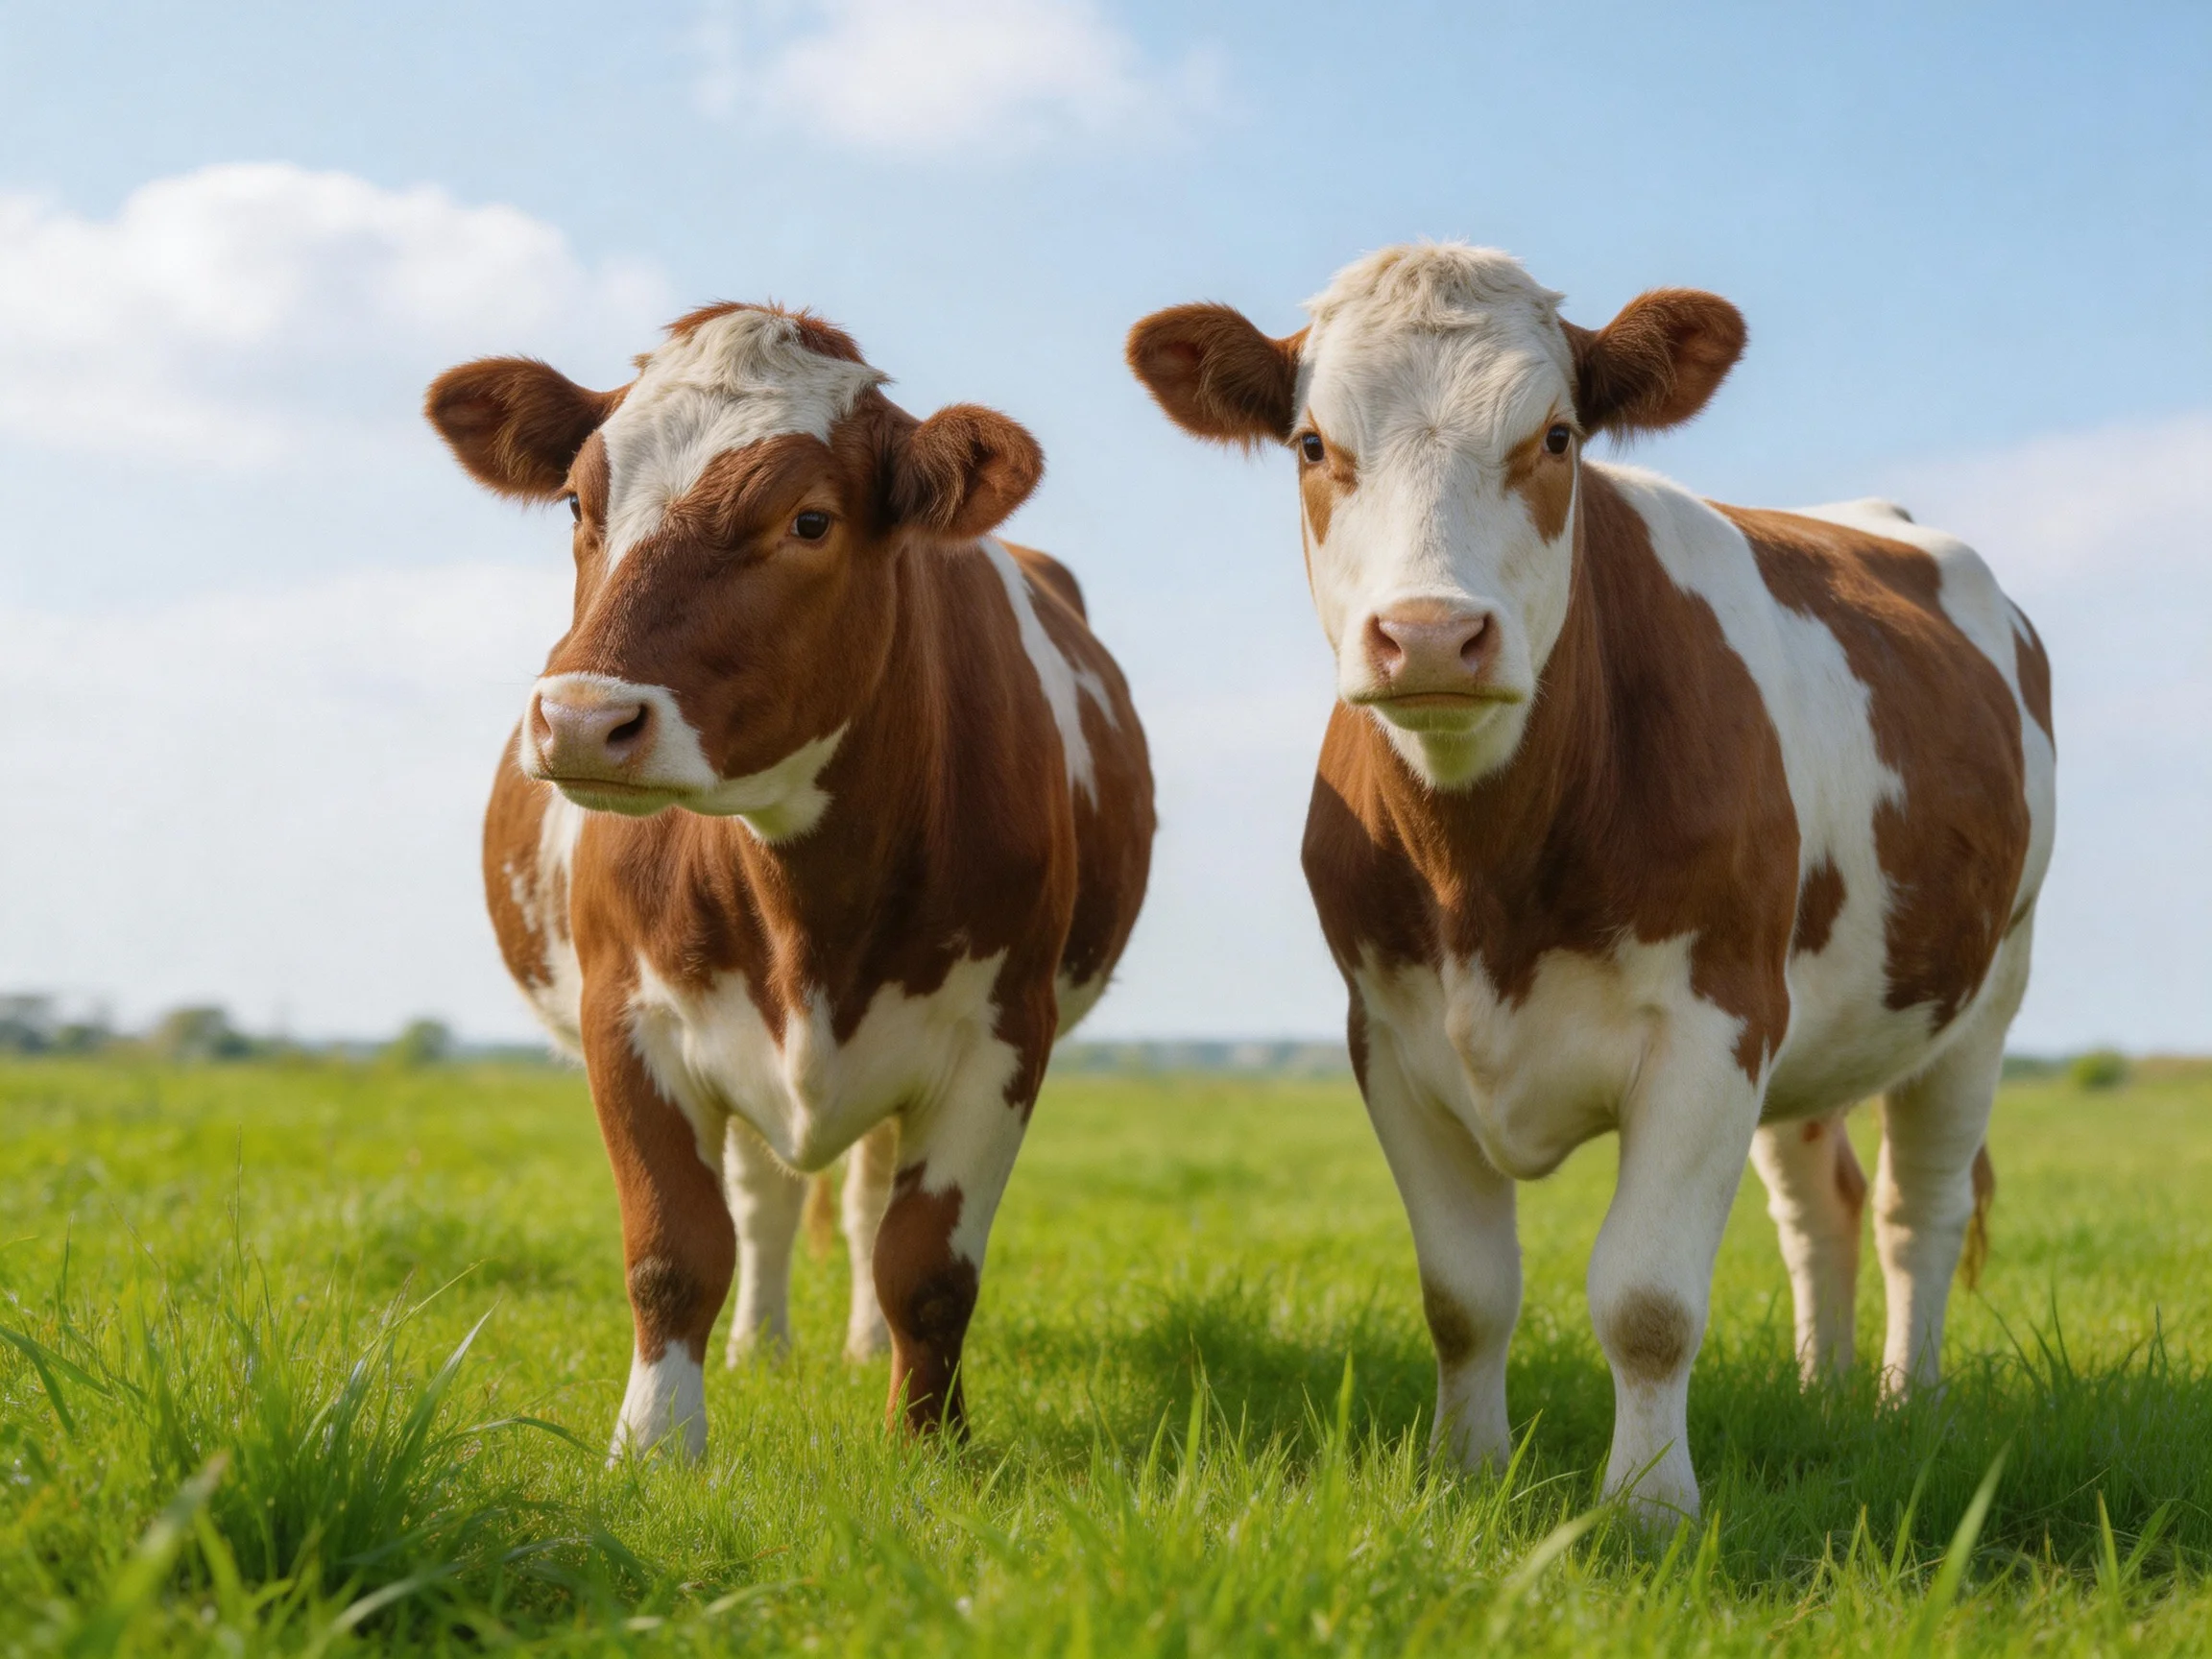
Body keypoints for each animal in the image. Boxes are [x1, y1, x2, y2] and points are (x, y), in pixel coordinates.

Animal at [425, 303, 1153, 1458]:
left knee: (858, 1203)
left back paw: (855, 1348)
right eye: (580, 501)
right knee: (763, 1202)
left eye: (810, 522)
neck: (806, 904)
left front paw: (926, 1447)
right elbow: (675, 1249)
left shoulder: (1002, 1033)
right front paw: (657, 1449)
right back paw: (761, 1348)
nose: (585, 719)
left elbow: (926, 1266)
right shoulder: (626, 1015)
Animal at [1126, 244, 2053, 1524]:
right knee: (1822, 1205)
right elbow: (1463, 1293)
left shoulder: (1715, 1025)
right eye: (1312, 444)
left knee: (1922, 1209)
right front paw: (1468, 1472)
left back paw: (1906, 1407)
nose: (1430, 635)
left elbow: (1648, 1302)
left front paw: (1652, 1511)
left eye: (1558, 435)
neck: (1484, 879)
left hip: (1985, 983)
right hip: (1810, 1020)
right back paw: (1820, 1395)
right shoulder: (1390, 1037)